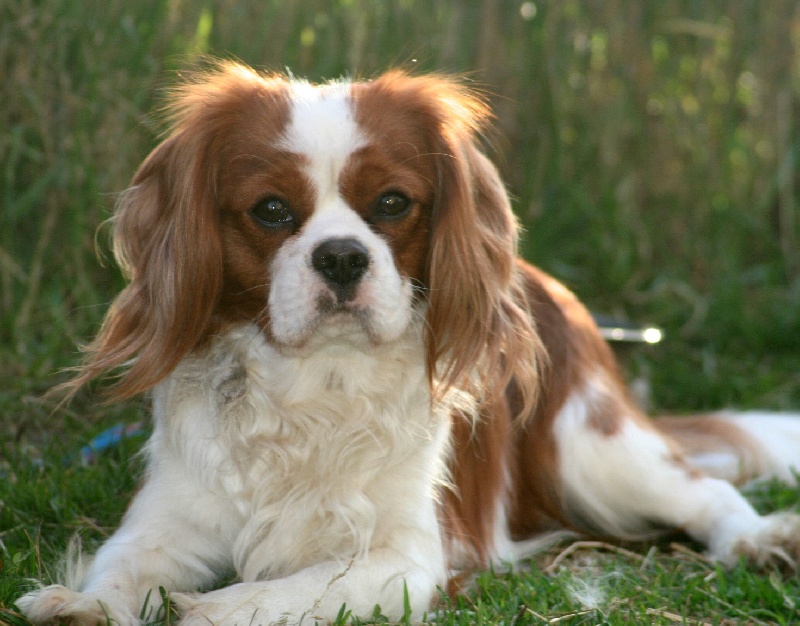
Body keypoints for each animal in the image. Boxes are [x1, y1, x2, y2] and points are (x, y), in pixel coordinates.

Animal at [17, 61, 800, 620]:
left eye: (393, 203)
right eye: (270, 211)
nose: (340, 256)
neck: (319, 384)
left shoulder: (404, 558)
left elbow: (259, 599)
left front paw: (199, 609)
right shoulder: (164, 523)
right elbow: (121, 569)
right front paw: (82, 605)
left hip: (592, 450)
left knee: (702, 491)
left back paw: (757, 540)